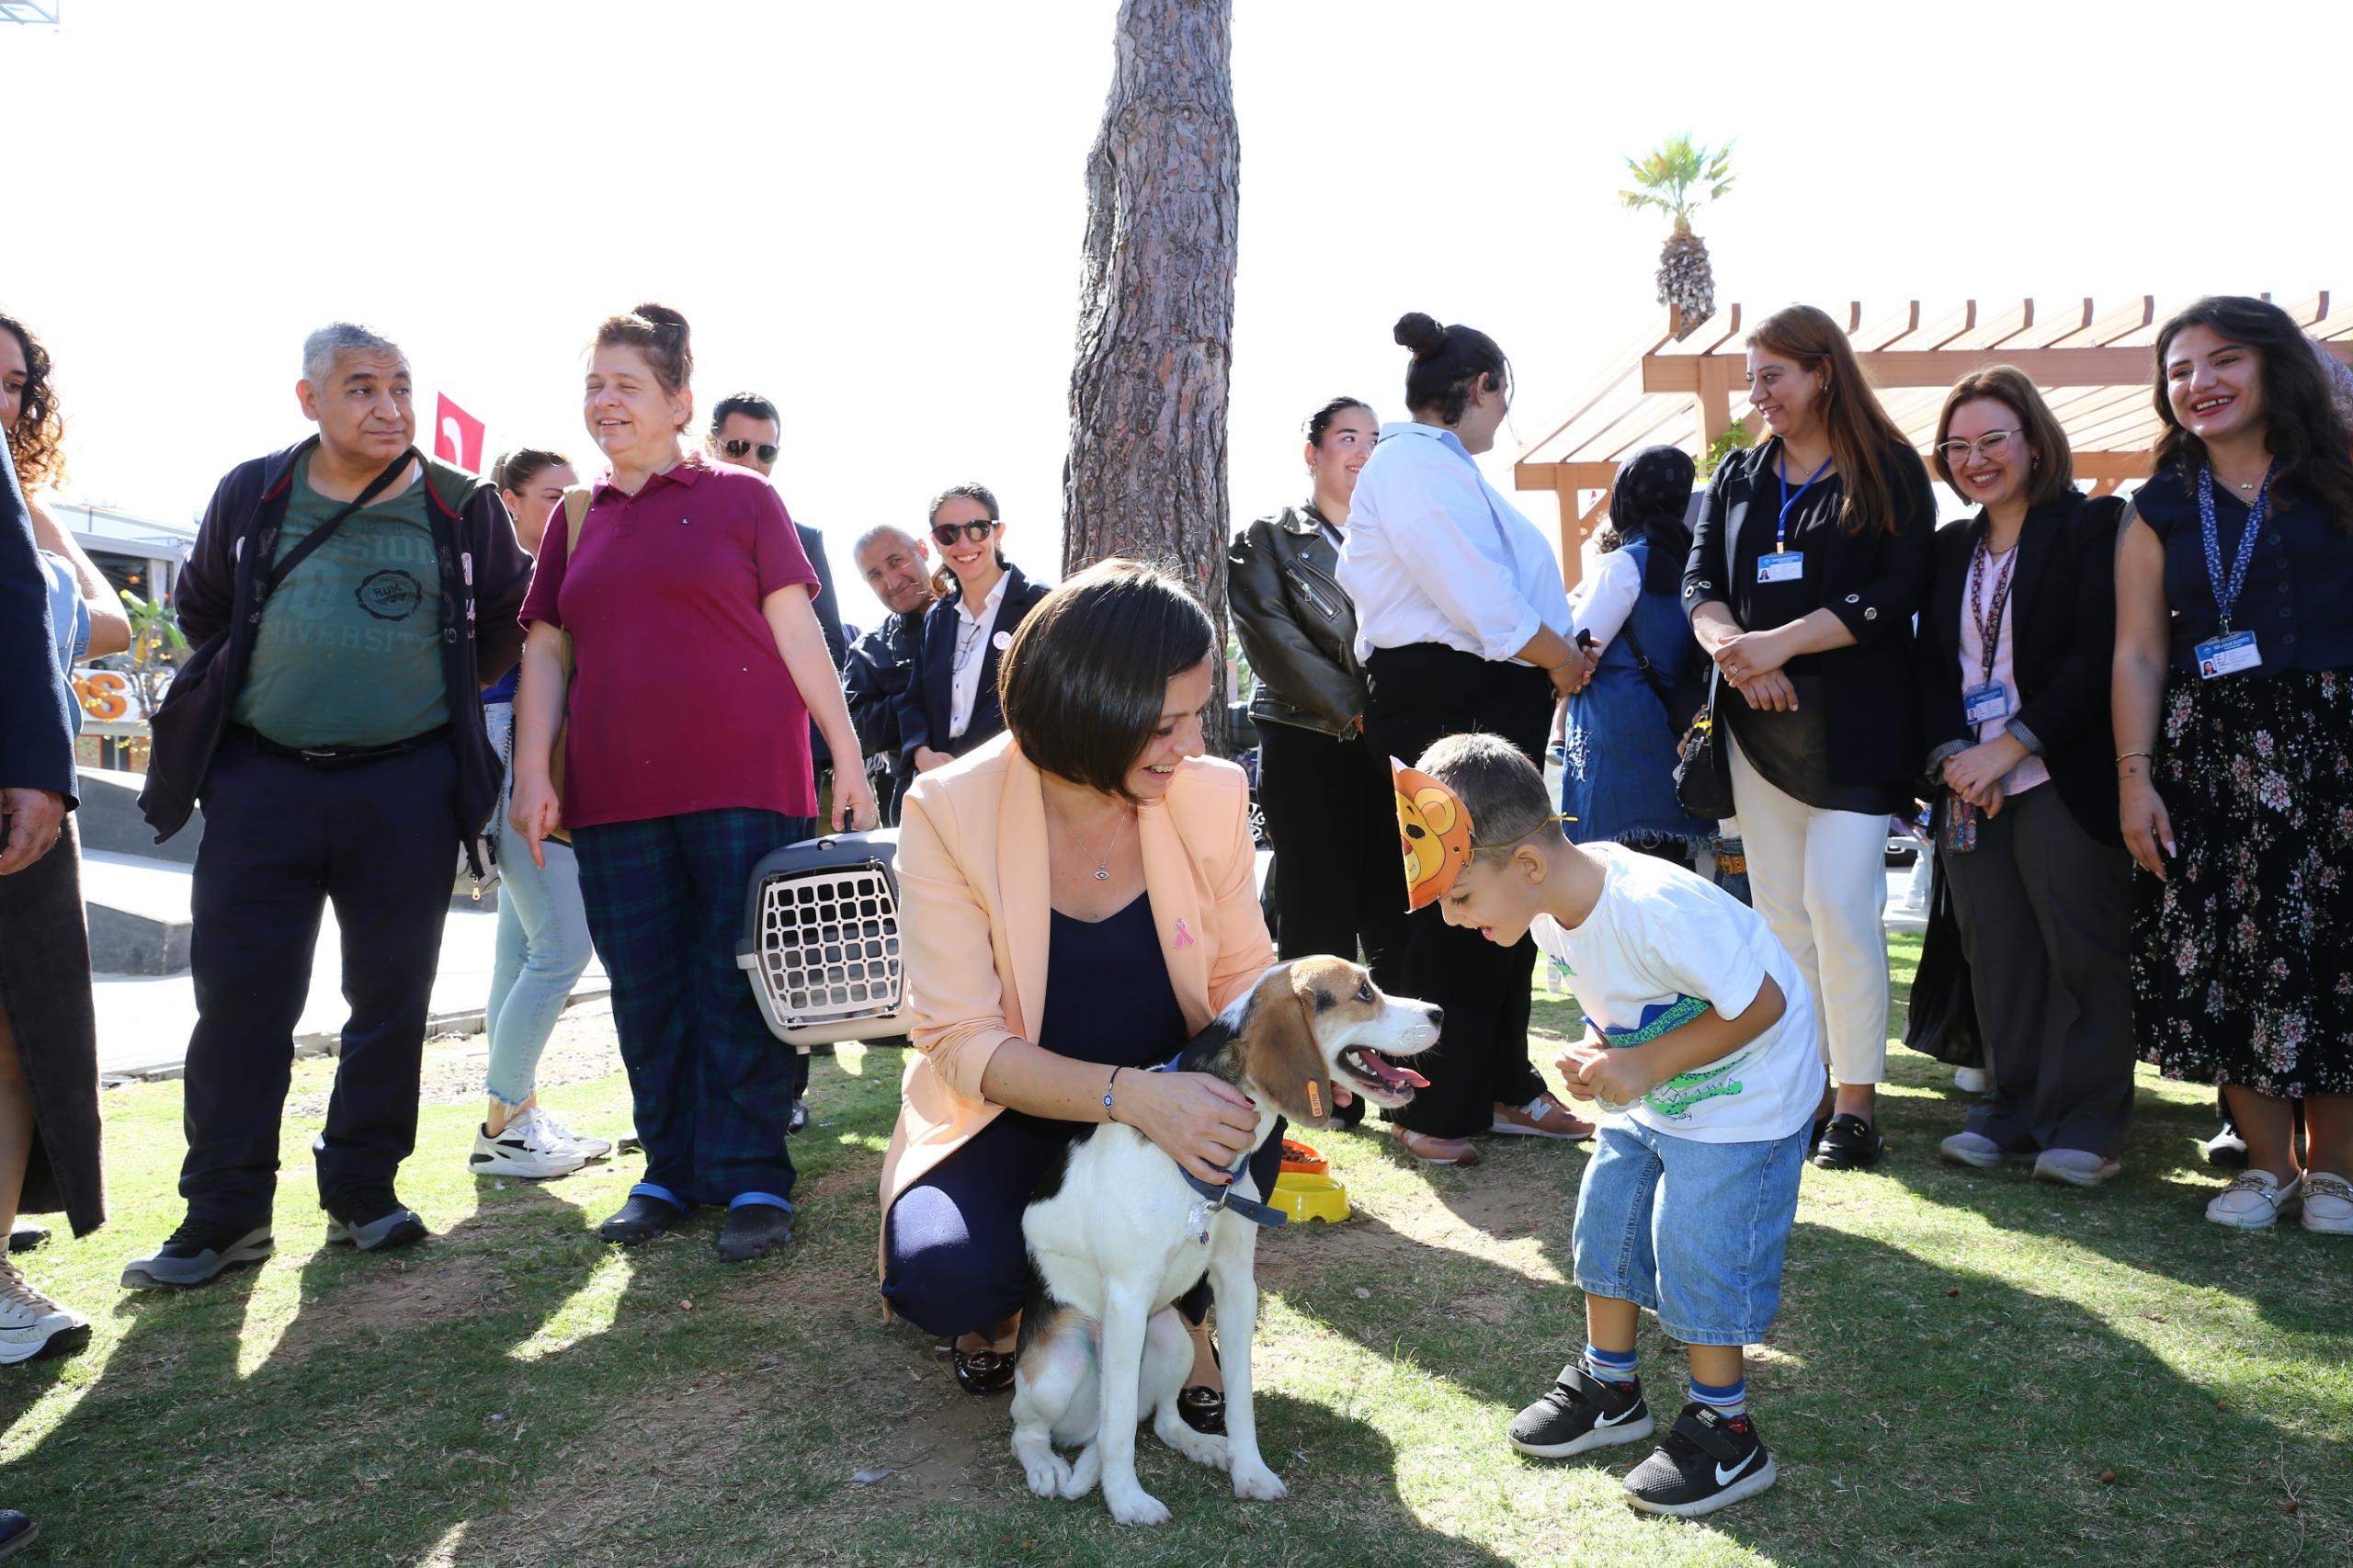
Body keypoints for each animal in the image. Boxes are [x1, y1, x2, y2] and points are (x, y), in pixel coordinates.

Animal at [1006, 950, 1430, 1516]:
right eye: (1363, 993)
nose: (1440, 1012)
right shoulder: (1128, 1297)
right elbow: (1117, 1431)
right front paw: (1126, 1500)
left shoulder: (1236, 1286)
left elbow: (1241, 1398)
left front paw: (1249, 1470)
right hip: (1059, 1368)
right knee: (1035, 1429)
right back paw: (1047, 1466)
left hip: (1172, 1340)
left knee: (1159, 1418)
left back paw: (1200, 1443)